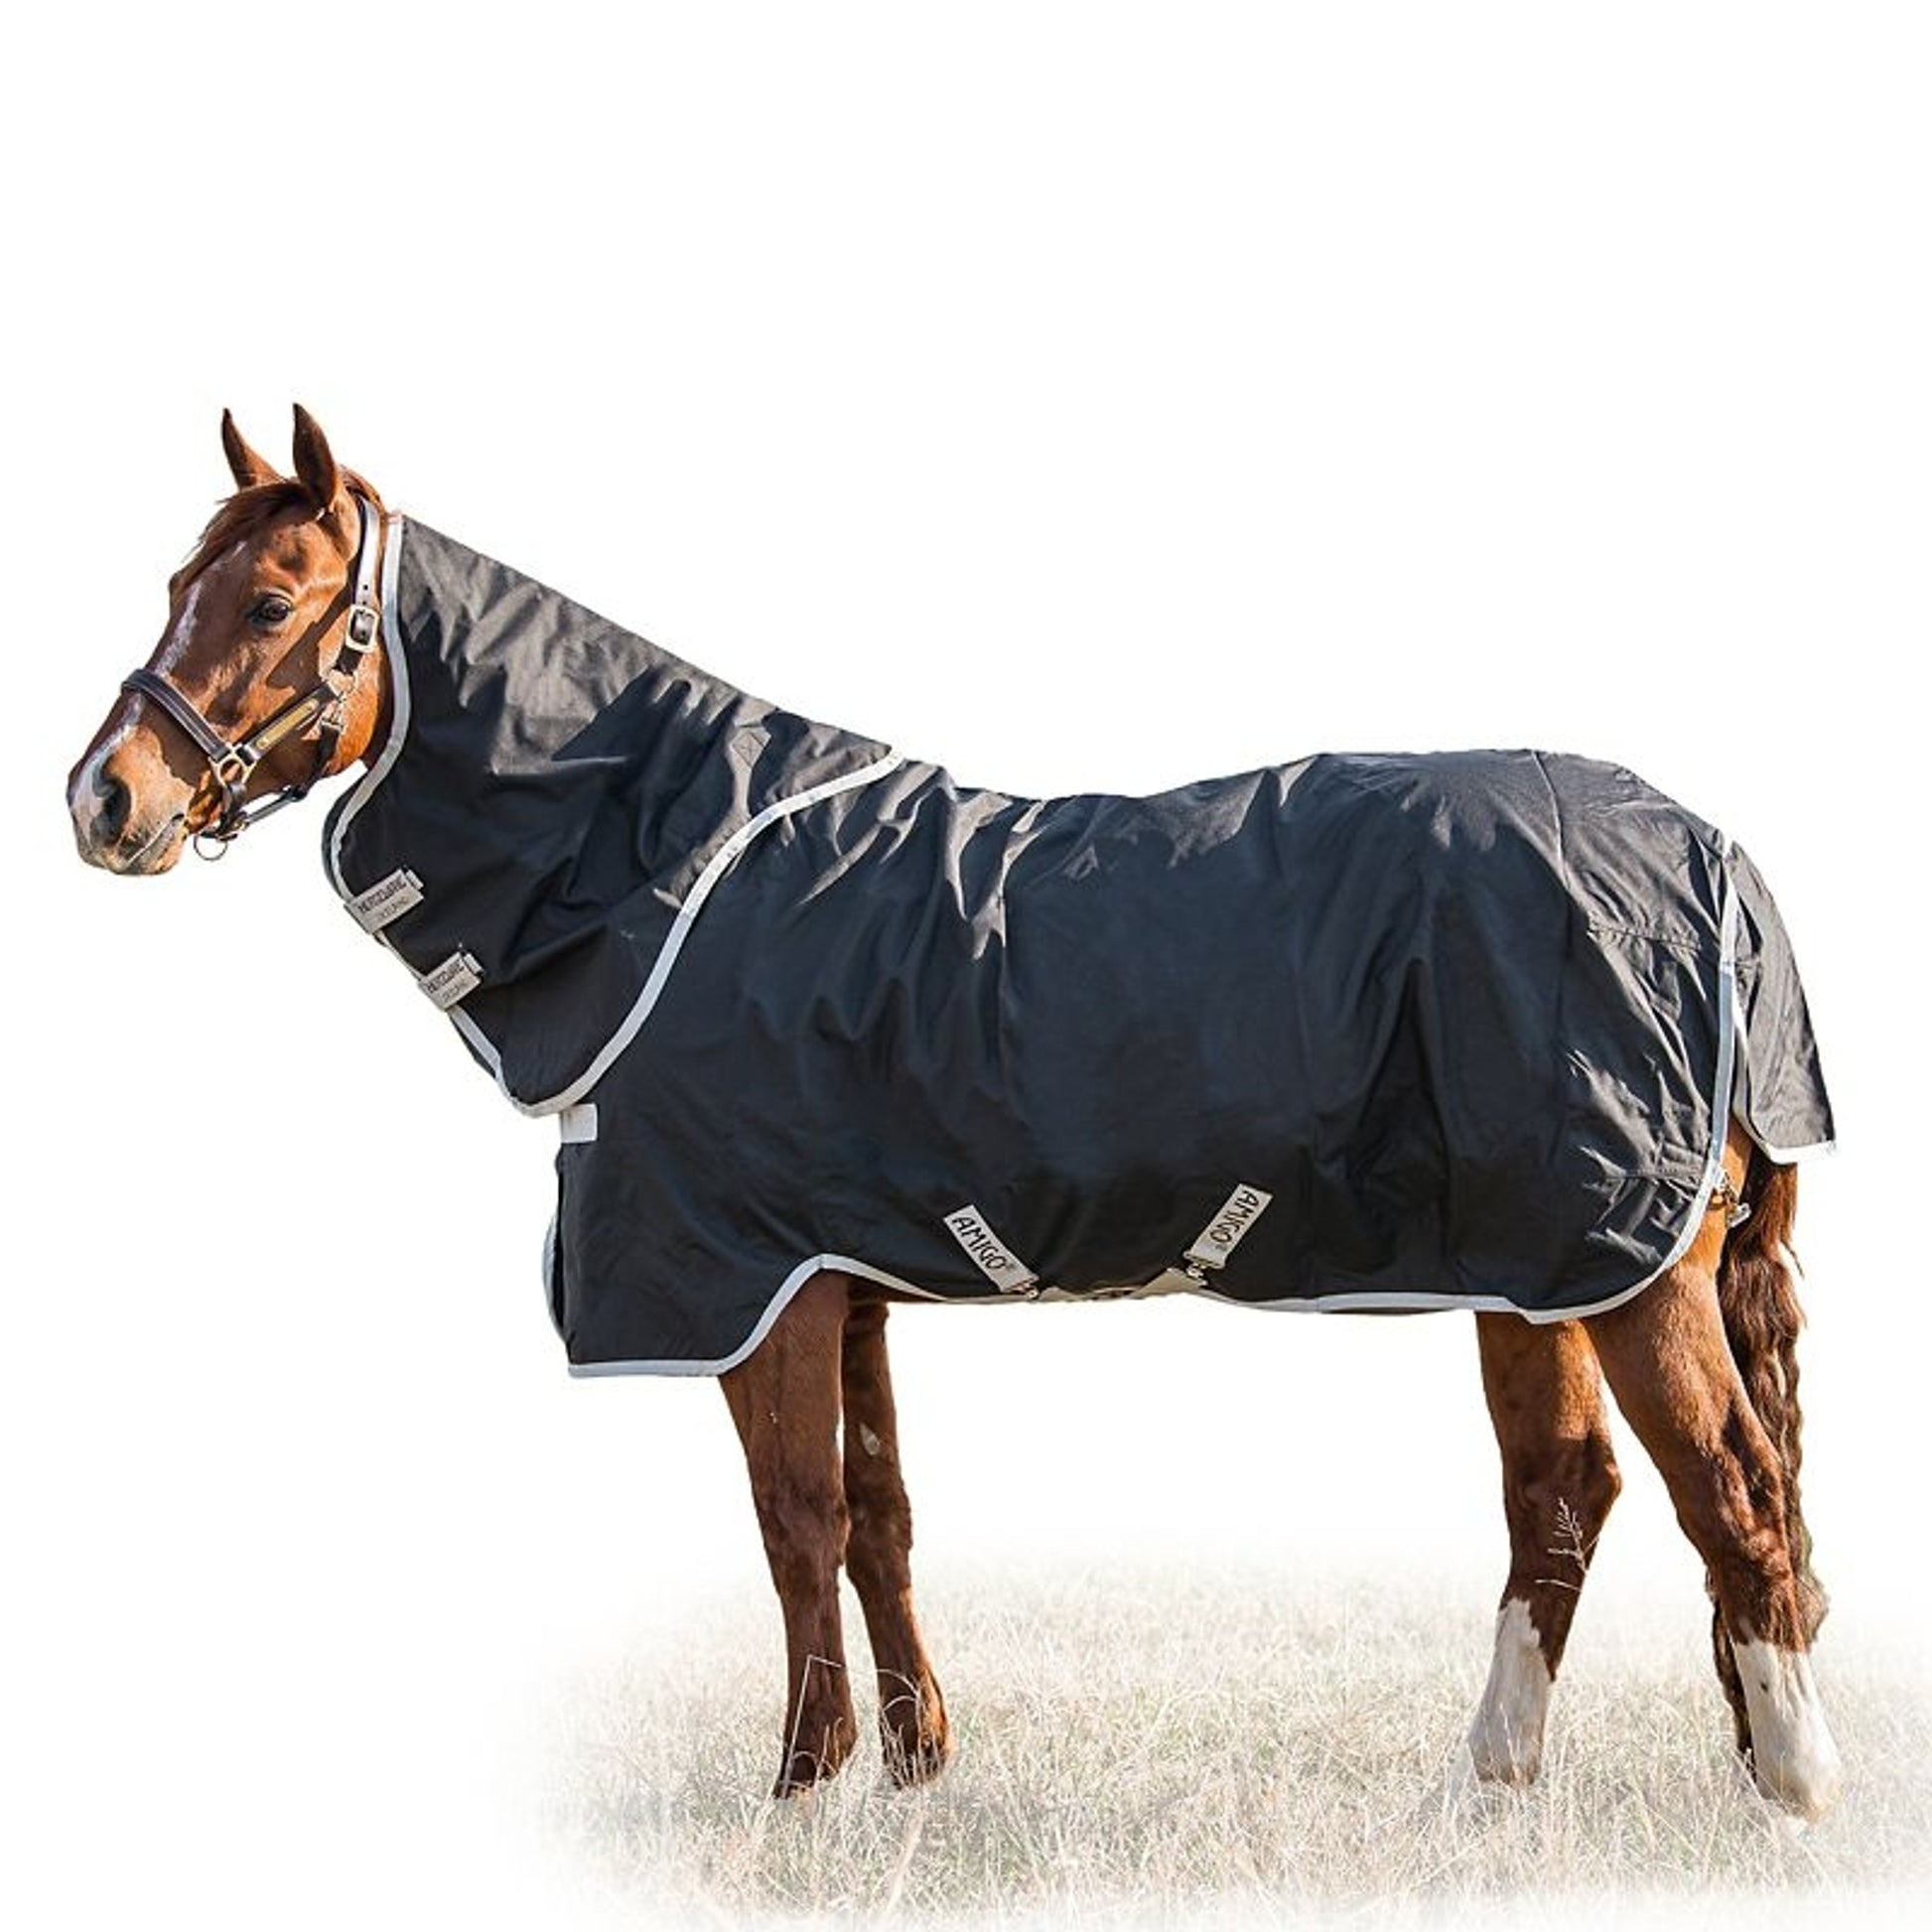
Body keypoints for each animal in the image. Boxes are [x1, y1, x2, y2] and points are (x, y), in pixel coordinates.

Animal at [67, 407, 1843, 1818]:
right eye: (171, 588)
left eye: (273, 599)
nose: (103, 799)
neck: (670, 865)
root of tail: (1713, 859)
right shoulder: (840, 1276)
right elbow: (880, 1518)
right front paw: (916, 1775)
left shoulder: (753, 1283)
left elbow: (794, 1521)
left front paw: (798, 1794)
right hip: (1535, 1266)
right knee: (1565, 1496)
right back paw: (1485, 1787)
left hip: (1621, 1257)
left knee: (1727, 1490)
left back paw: (1793, 1781)